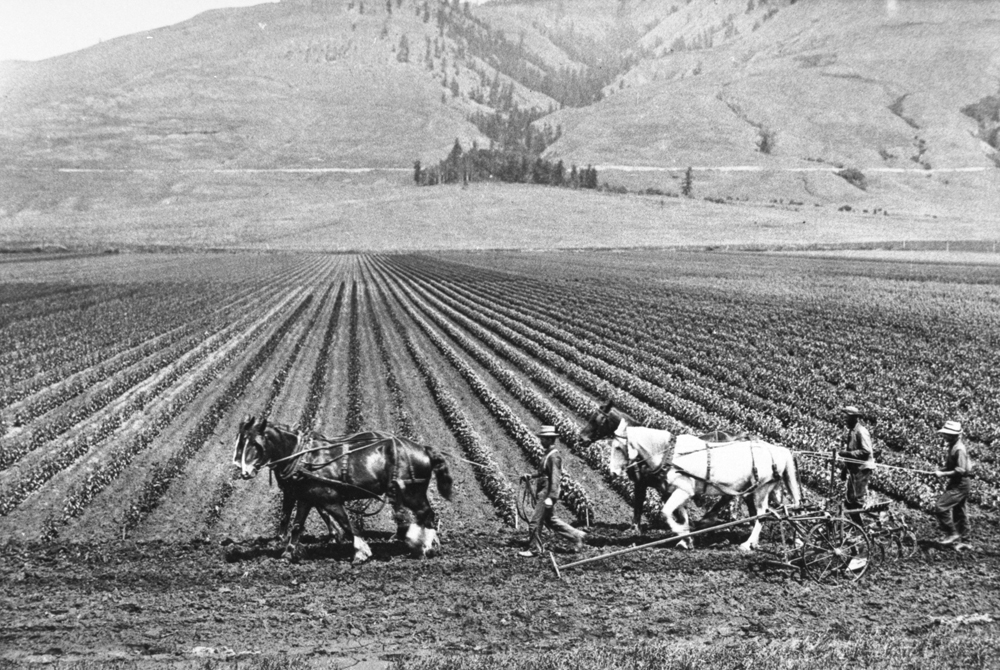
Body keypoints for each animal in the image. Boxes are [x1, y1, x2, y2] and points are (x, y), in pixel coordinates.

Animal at [232, 418, 452, 564]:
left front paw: (360, 551)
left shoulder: (329, 498)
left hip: (412, 492)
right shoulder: (305, 498)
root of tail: (423, 449)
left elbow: (346, 524)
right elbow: (296, 525)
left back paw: (425, 546)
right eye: (240, 442)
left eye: (255, 443)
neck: (303, 458)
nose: (243, 471)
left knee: (427, 514)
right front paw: (288, 553)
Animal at [584, 404, 800, 552]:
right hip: (753, 489)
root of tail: (776, 450)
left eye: (597, 420)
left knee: (762, 513)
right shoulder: (671, 489)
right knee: (773, 511)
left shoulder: (653, 485)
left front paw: (637, 529)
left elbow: (657, 510)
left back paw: (747, 542)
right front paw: (686, 537)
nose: (581, 438)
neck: (666, 453)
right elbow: (679, 514)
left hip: (759, 489)